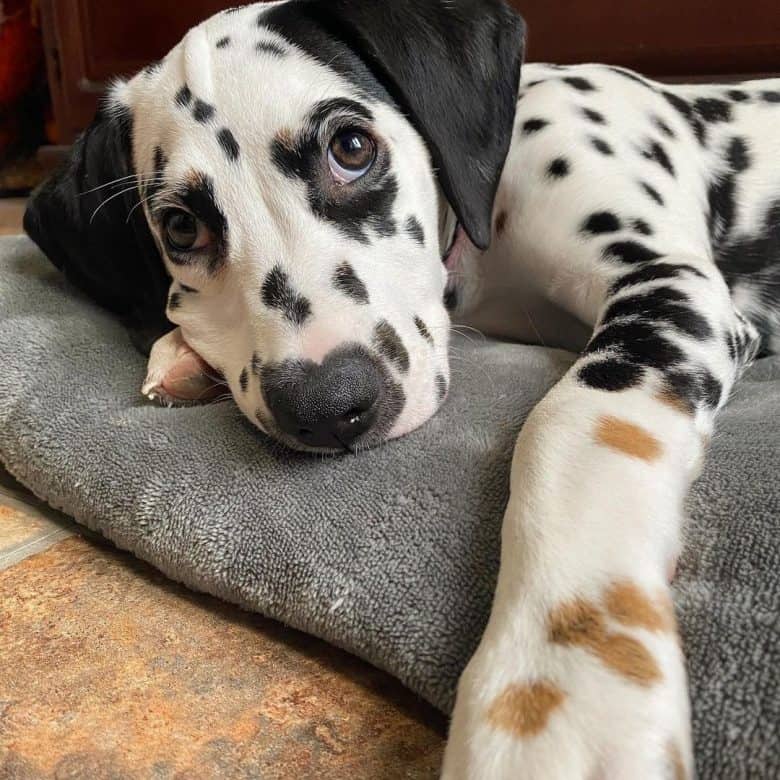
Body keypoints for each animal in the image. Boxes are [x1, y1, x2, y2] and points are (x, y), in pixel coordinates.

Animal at [21, 1, 776, 780]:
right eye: (179, 225)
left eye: (351, 147)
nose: (327, 407)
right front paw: (179, 352)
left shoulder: (670, 285)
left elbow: (572, 425)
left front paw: (560, 679)